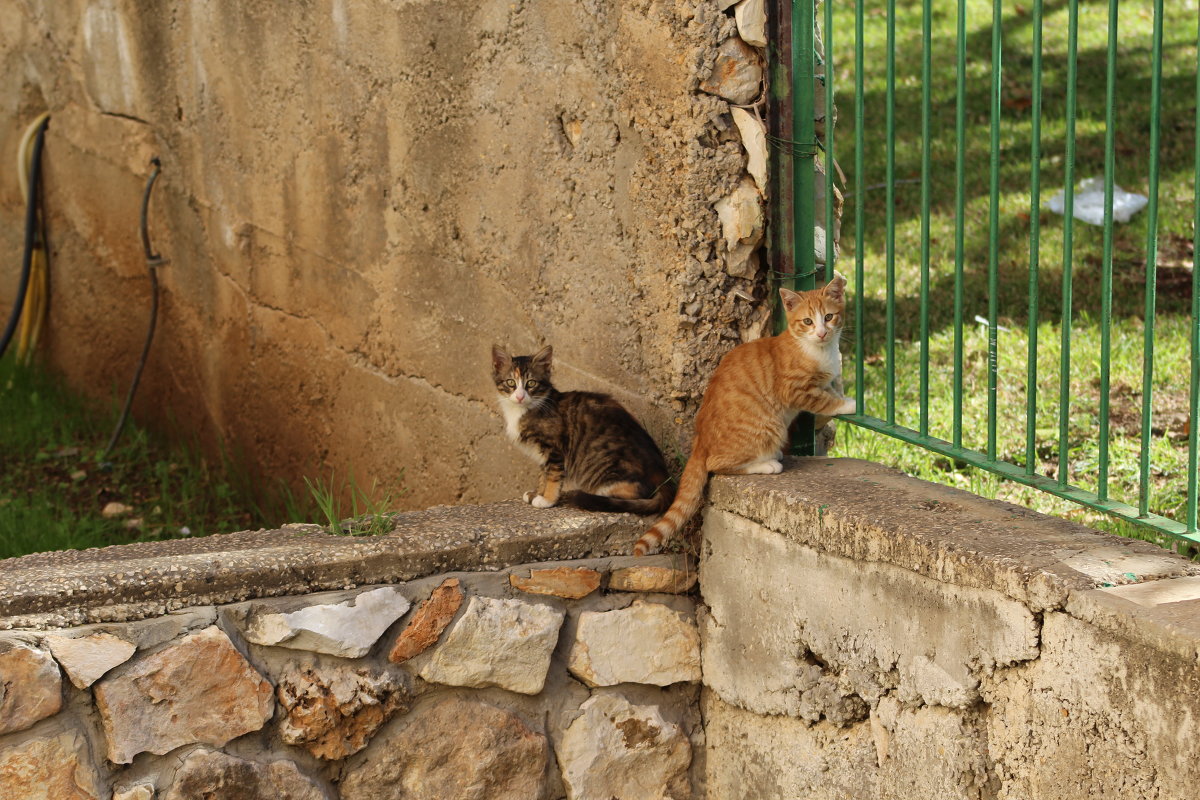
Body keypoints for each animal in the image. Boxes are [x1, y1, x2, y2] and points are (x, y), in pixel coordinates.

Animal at [489, 345, 676, 513]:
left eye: (531, 383)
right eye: (511, 382)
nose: (520, 396)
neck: (524, 409)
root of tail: (663, 476)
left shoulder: (555, 449)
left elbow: (553, 476)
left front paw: (547, 499)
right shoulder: (542, 454)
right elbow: (543, 473)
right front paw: (537, 493)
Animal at [633, 272, 859, 554]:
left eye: (829, 317)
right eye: (807, 321)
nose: (821, 332)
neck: (815, 349)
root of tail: (700, 442)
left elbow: (830, 389)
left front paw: (842, 396)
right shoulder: (795, 390)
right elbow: (824, 401)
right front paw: (848, 404)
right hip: (769, 426)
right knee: (717, 465)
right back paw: (767, 463)